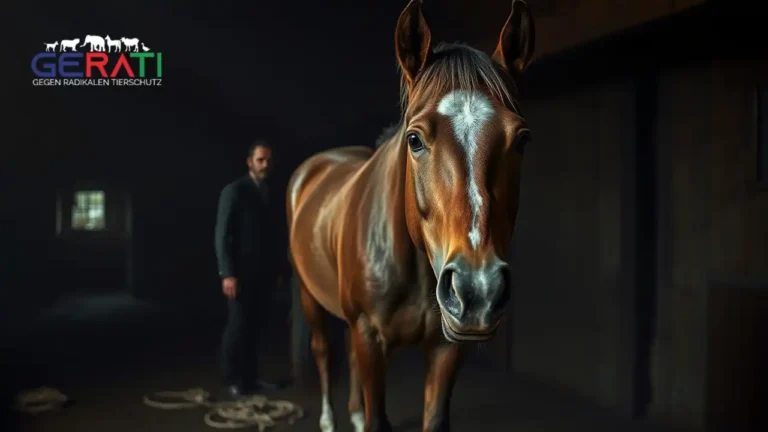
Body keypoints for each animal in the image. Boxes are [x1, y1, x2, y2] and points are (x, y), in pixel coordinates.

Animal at [286, 1, 535, 431]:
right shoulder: (370, 337)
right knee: (323, 350)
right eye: (414, 139)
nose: (478, 289)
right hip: (310, 297)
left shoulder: (445, 348)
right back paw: (329, 419)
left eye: (521, 139)